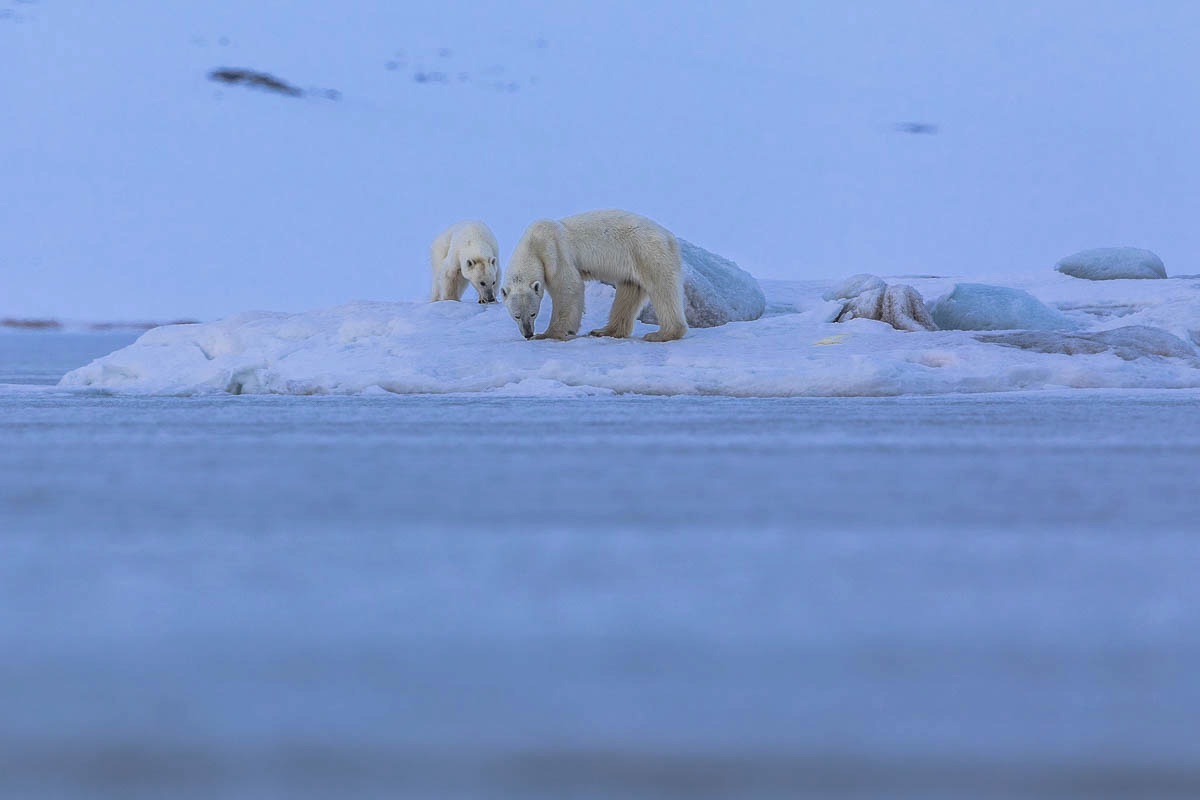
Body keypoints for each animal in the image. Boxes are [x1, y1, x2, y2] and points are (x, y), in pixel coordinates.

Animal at [496, 209, 686, 340]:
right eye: (516, 315)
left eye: (533, 313)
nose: (528, 333)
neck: (532, 244)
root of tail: (670, 237)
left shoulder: (554, 252)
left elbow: (569, 287)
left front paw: (548, 334)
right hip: (634, 261)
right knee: (628, 291)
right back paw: (604, 330)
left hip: (648, 252)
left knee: (661, 289)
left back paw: (661, 334)